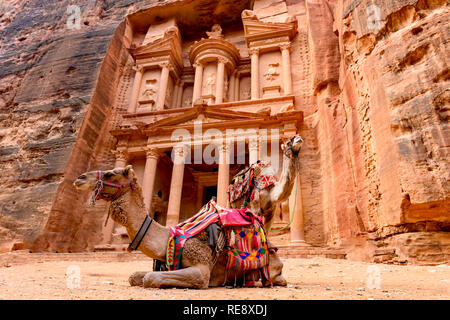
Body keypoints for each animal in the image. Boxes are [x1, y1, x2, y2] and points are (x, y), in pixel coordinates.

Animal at [73, 166, 284, 288]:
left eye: (110, 173)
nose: (79, 178)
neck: (168, 237)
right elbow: (135, 276)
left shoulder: (202, 269)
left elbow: (150, 278)